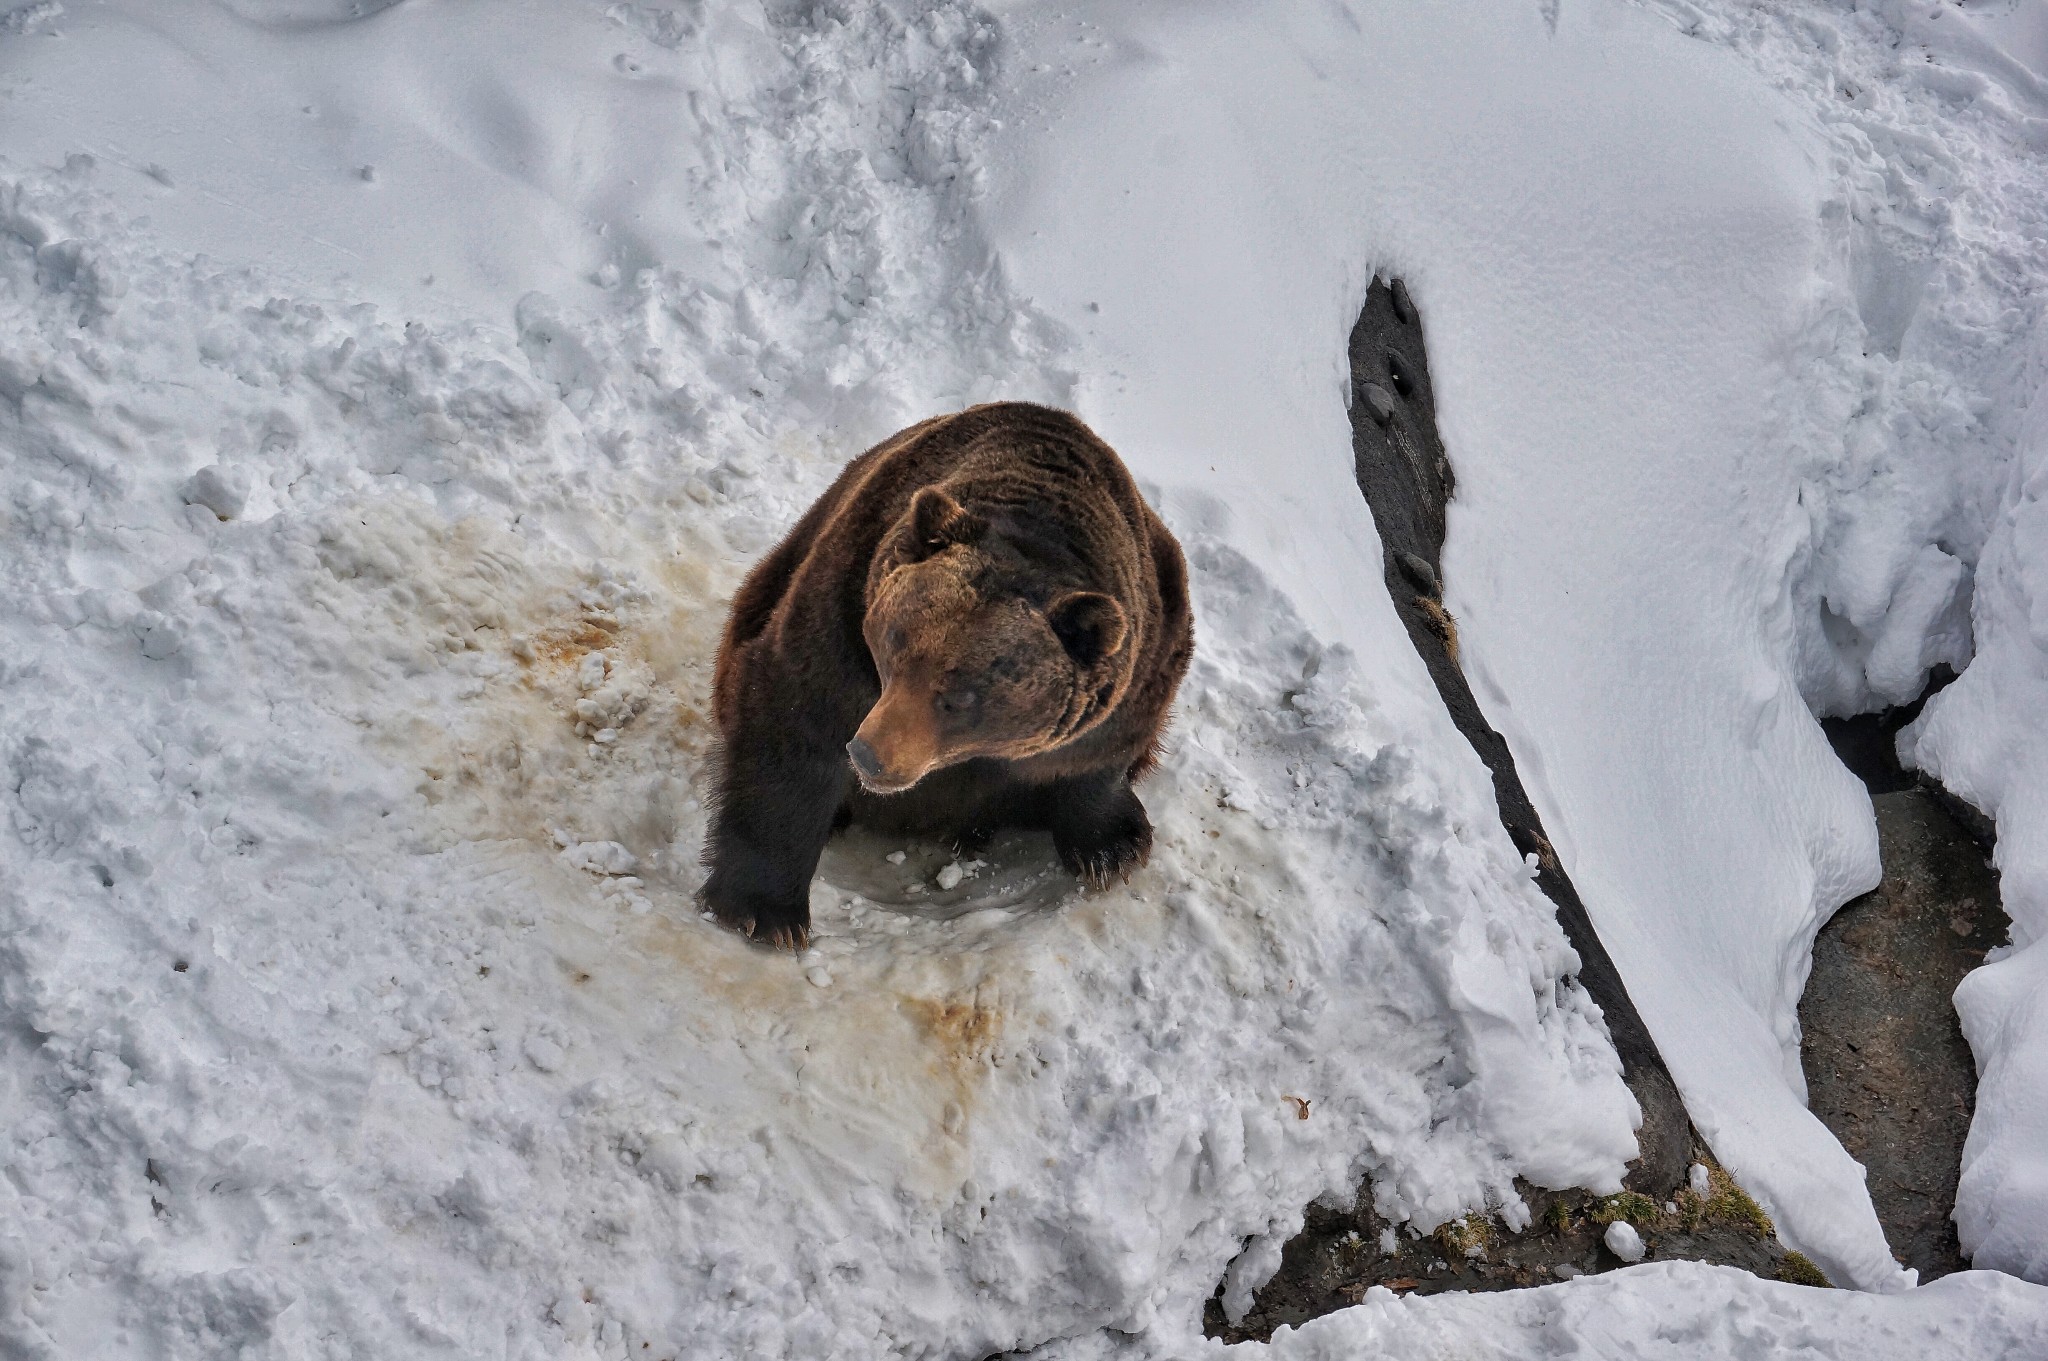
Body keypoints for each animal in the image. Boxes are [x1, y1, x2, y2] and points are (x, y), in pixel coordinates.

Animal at [700, 403, 1196, 945]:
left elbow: (1096, 757)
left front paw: (1112, 848)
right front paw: (766, 912)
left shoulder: (1143, 660)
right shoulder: (847, 600)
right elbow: (797, 720)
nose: (869, 755)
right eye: (895, 644)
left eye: (961, 696)